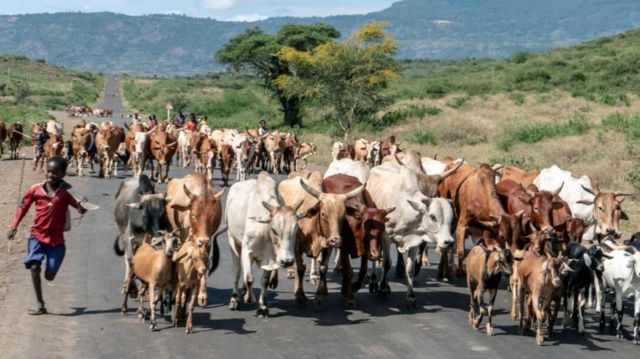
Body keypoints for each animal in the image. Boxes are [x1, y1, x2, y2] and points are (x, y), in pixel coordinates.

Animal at [220, 174, 302, 318]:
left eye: (295, 229)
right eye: (274, 230)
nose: (287, 261)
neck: (265, 231)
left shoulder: (270, 259)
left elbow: (264, 281)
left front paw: (262, 307)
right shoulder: (247, 251)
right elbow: (249, 278)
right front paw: (249, 299)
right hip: (233, 242)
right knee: (237, 271)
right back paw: (235, 299)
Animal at [364, 162, 456, 308]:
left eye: (451, 219)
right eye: (433, 217)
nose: (449, 242)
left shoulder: (415, 242)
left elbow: (410, 270)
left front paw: (411, 296)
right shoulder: (385, 237)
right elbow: (387, 264)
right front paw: (382, 289)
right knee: (375, 257)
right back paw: (374, 282)